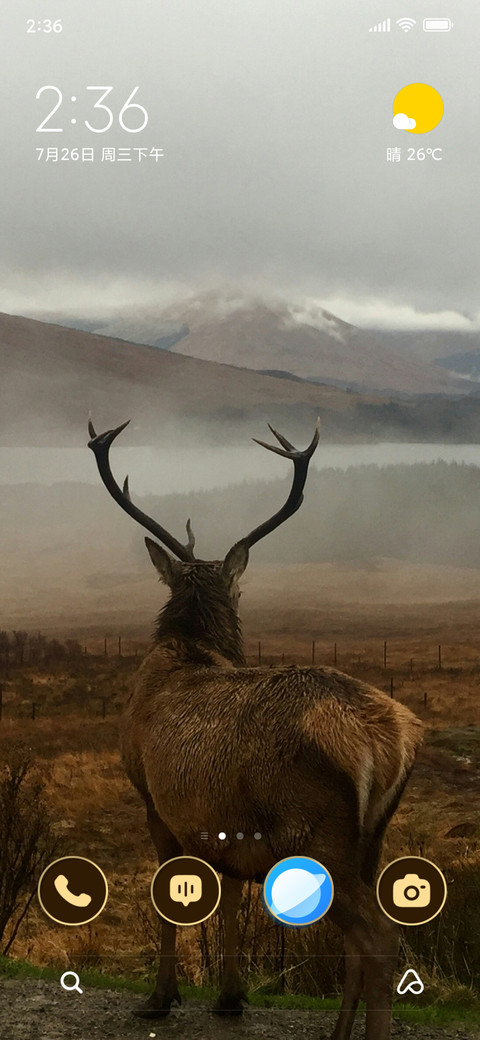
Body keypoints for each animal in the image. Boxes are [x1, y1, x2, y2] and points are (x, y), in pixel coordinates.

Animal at [88, 417, 422, 1040]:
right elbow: (233, 896)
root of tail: (391, 742)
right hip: (372, 835)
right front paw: (230, 995)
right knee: (361, 937)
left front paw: (160, 997)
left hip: (313, 831)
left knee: (378, 935)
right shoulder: (228, 821)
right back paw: (338, 1032)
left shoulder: (152, 797)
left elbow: (171, 895)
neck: (189, 649)